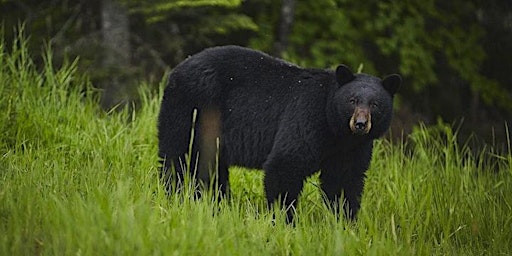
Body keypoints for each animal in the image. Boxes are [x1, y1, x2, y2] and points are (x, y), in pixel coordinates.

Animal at [158, 45, 402, 222]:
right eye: (352, 100)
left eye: (375, 104)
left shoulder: (352, 148)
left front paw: (345, 222)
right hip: (190, 109)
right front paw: (284, 220)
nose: (360, 124)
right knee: (177, 156)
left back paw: (215, 202)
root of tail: (176, 69)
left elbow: (344, 180)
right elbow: (285, 165)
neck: (337, 131)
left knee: (210, 167)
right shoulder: (307, 118)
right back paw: (174, 195)